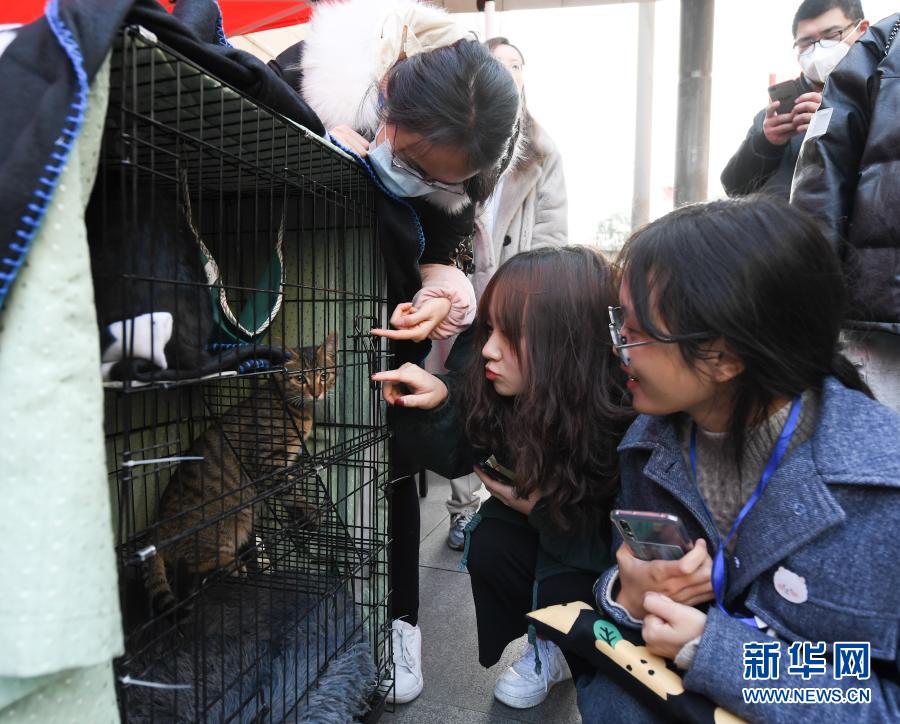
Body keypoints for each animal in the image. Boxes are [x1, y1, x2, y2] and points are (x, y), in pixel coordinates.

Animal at [146, 330, 340, 612]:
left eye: (323, 375)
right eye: (300, 379)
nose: (317, 393)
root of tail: (158, 531)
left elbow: (292, 484)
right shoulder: (268, 462)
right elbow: (291, 489)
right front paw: (309, 512)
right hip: (229, 525)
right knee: (200, 562)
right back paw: (234, 566)